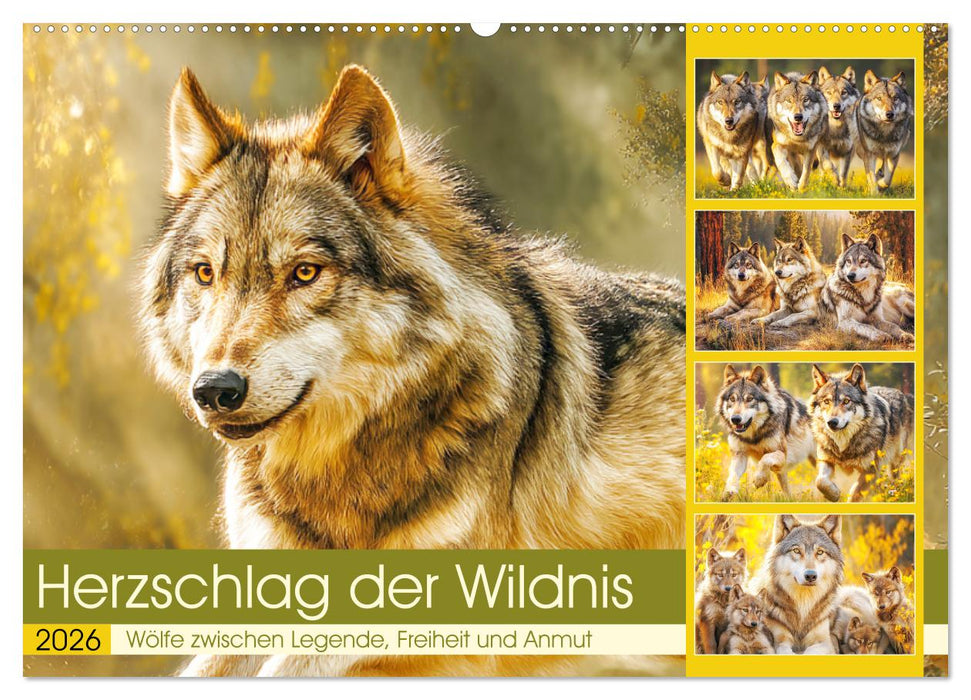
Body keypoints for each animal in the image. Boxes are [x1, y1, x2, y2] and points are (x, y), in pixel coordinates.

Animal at [716, 365, 815, 500]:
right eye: (732, 399)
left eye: (749, 399)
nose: (735, 419)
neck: (753, 436)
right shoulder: (739, 454)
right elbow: (733, 475)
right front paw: (729, 492)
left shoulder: (782, 455)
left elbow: (765, 459)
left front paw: (759, 479)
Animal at [753, 515, 844, 654]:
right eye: (796, 550)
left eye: (820, 552)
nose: (810, 575)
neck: (803, 603)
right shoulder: (780, 641)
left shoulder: (825, 643)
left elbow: (810, 651)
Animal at [809, 364, 915, 502]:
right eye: (826, 402)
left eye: (846, 401)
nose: (832, 422)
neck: (844, 444)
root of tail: (902, 394)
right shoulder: (826, 460)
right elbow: (820, 481)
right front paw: (833, 494)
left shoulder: (869, 470)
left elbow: (854, 495)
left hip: (895, 462)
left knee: (894, 479)